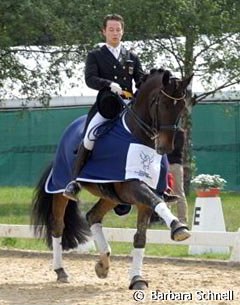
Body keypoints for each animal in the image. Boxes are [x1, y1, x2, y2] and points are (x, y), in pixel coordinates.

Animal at [31, 67, 193, 288]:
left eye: (182, 106)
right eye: (161, 103)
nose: (166, 147)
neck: (138, 135)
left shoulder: (144, 195)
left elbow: (140, 237)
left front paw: (136, 279)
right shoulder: (132, 185)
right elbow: (157, 202)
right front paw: (179, 228)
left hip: (111, 196)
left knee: (93, 216)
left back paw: (103, 263)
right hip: (60, 189)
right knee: (57, 226)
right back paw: (61, 271)